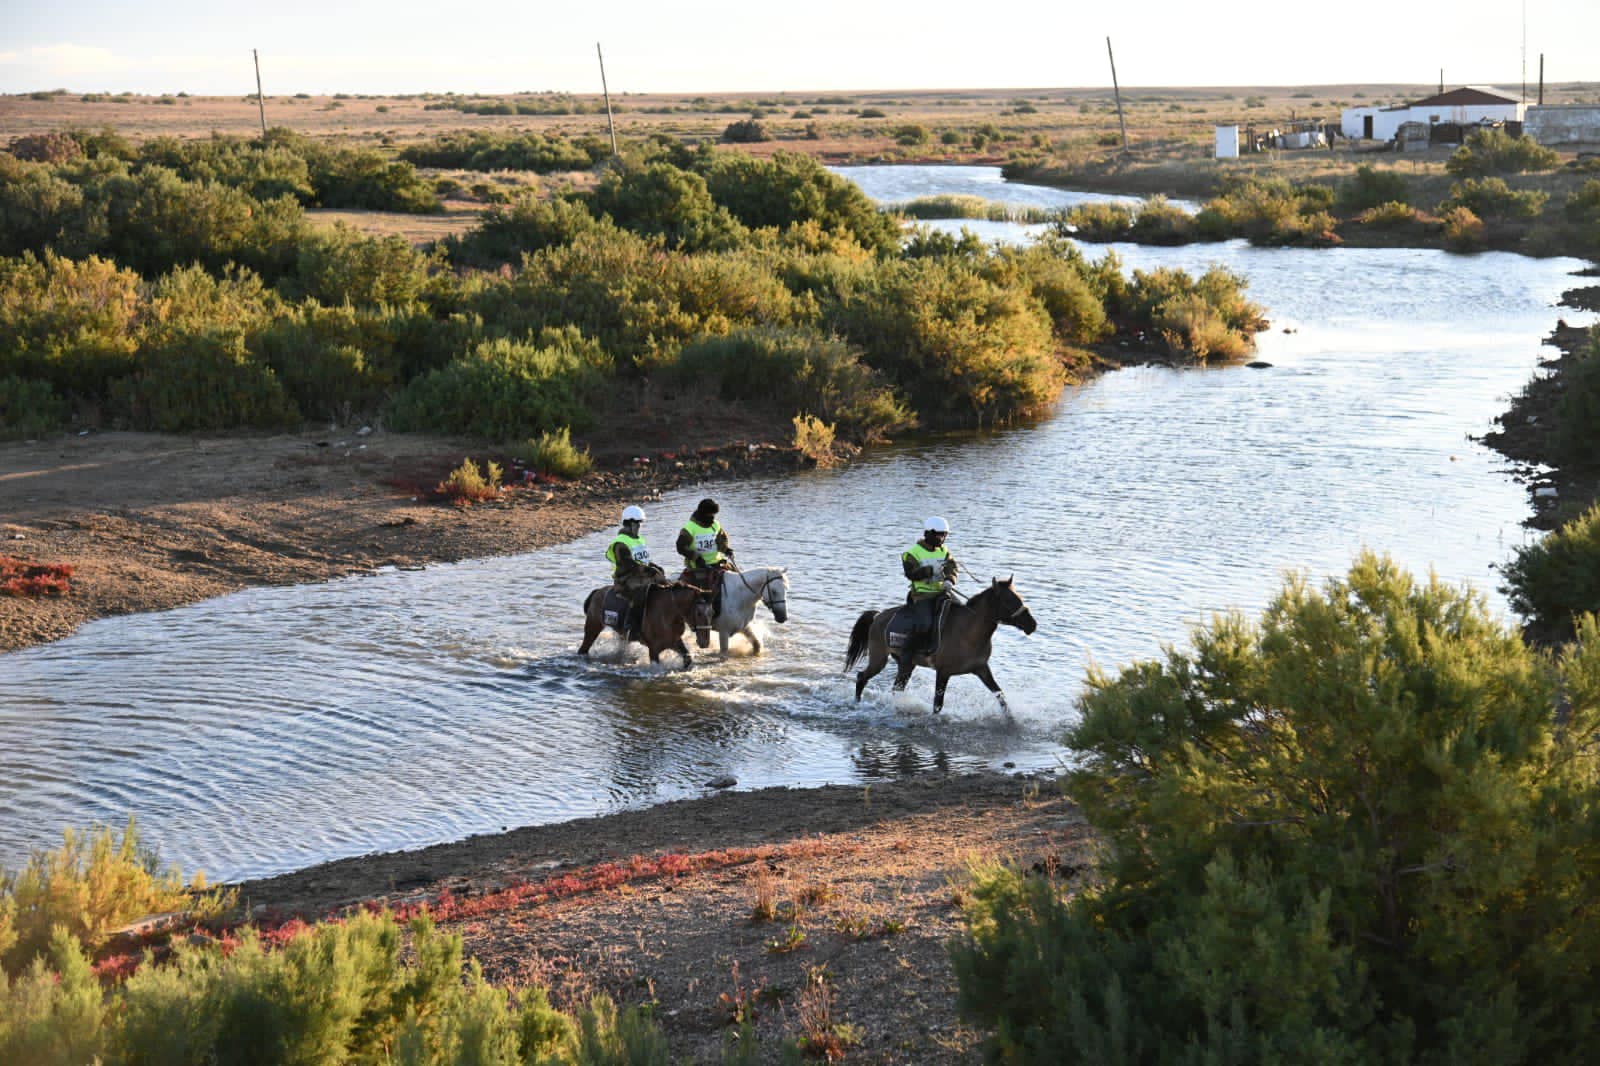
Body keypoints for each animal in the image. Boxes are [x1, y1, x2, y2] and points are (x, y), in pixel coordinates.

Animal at [582, 582, 713, 665]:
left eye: (712, 612)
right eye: (699, 613)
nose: (705, 643)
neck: (667, 613)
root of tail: (598, 591)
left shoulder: (675, 642)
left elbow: (687, 659)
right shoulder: (653, 650)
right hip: (592, 628)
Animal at [851, 573, 1036, 713]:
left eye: (1019, 598)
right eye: (1008, 601)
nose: (1032, 624)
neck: (969, 633)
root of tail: (878, 616)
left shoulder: (982, 668)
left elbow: (1000, 696)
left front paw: (1011, 720)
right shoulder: (943, 672)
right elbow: (937, 705)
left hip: (906, 664)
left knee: (896, 688)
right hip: (879, 659)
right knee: (862, 677)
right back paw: (857, 703)